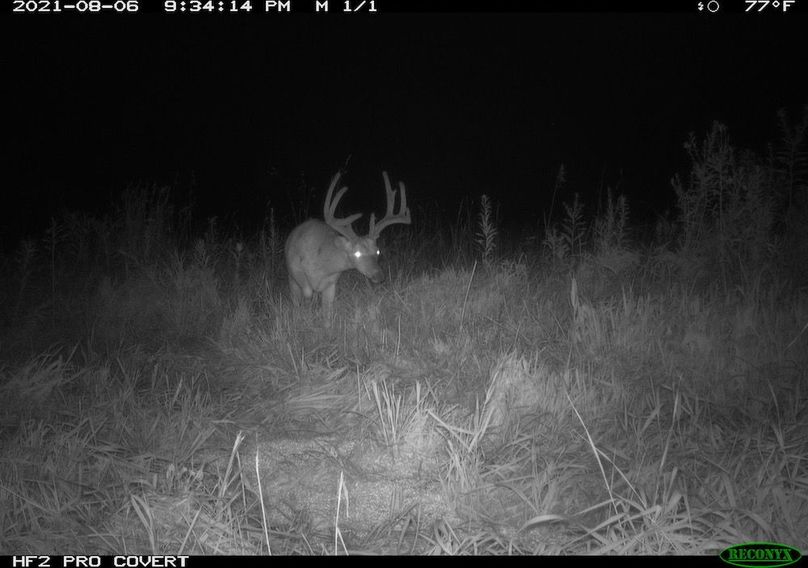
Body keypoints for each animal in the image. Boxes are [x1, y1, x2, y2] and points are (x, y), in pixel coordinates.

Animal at [284, 171, 411, 326]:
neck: (321, 266)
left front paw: (326, 327)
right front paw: (306, 318)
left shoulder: (332, 282)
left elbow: (327, 313)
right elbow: (307, 293)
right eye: (356, 253)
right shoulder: (296, 270)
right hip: (291, 278)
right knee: (297, 299)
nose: (379, 276)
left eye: (377, 251)